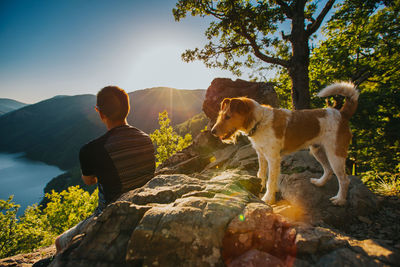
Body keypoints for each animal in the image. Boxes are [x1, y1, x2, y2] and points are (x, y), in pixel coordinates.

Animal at [211, 82, 358, 206]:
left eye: (228, 117)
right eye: (221, 115)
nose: (212, 131)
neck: (260, 121)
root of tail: (341, 113)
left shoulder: (273, 158)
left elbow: (270, 180)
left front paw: (268, 198)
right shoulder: (262, 156)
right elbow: (262, 174)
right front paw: (262, 189)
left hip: (335, 154)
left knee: (344, 179)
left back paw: (339, 200)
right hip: (318, 150)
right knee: (328, 170)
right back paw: (319, 183)